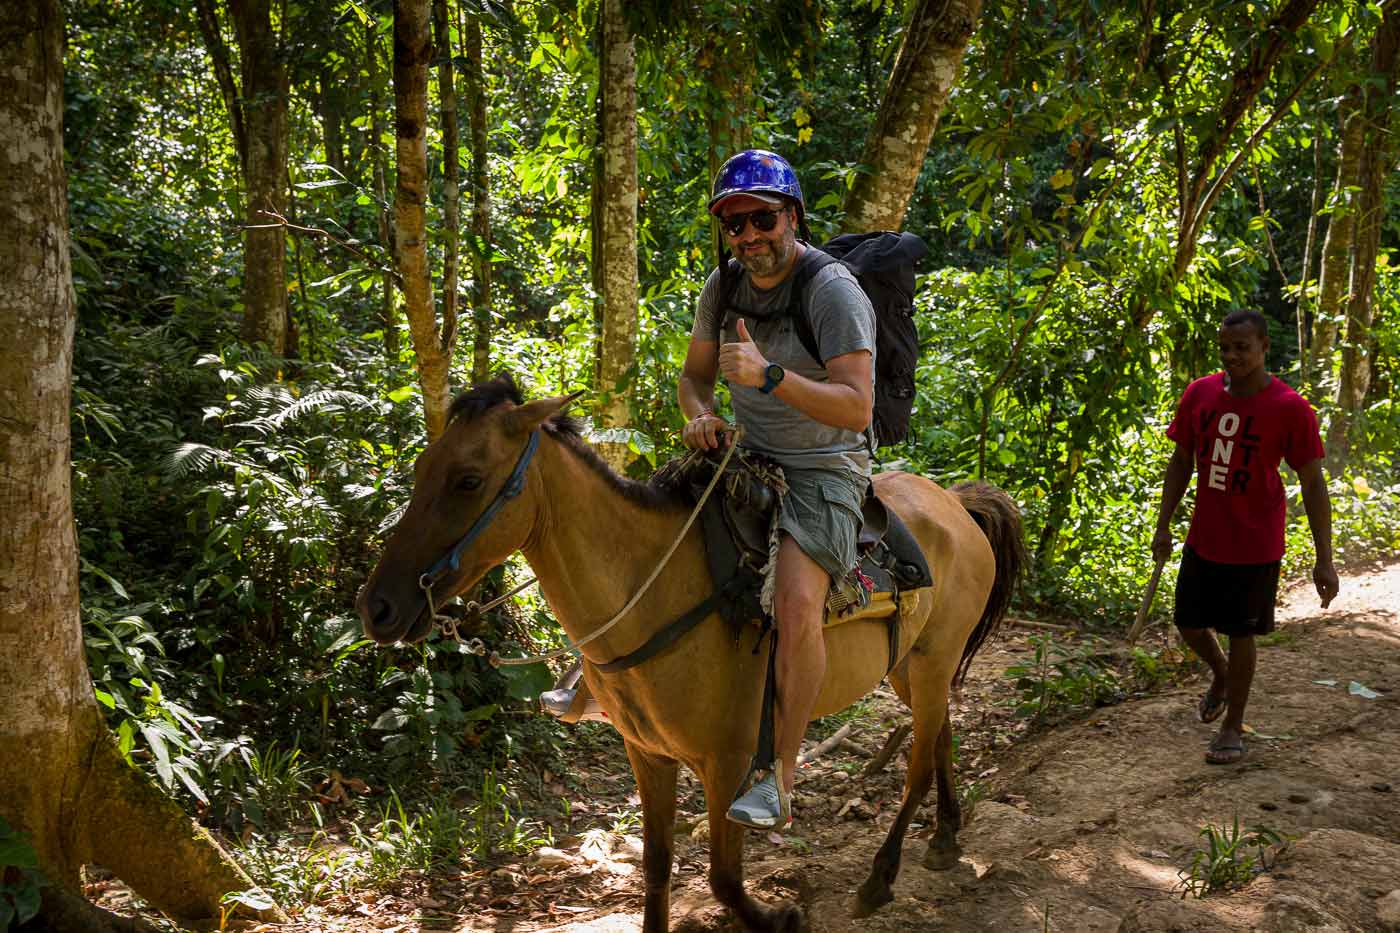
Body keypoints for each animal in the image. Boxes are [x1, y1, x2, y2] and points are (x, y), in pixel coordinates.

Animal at [355, 372, 1024, 930]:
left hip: (933, 659)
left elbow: (725, 882)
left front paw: (783, 918)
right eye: (422, 468)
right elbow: (656, 868)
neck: (657, 592)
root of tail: (954, 504)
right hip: (913, 665)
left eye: (468, 480)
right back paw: (945, 838)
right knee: (940, 734)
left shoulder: (728, 763)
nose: (377, 607)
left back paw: (881, 878)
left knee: (918, 761)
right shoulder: (647, 754)